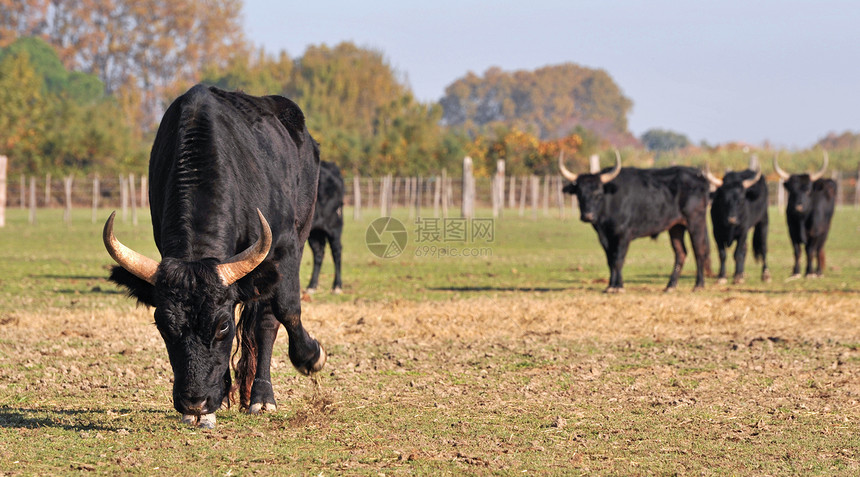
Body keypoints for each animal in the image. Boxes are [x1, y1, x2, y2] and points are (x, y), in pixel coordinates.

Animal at [103, 84, 326, 428]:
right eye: (163, 324)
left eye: (222, 326)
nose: (194, 401)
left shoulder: (285, 246)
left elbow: (286, 308)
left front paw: (311, 357)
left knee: (266, 320)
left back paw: (261, 397)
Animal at [308, 161, 344, 294]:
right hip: (314, 232)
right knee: (318, 253)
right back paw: (311, 286)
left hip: (334, 226)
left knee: (337, 251)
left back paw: (337, 286)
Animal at [556, 151, 712, 292]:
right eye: (579, 194)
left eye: (599, 194)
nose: (587, 216)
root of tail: (699, 176)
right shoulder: (604, 237)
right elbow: (610, 260)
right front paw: (610, 285)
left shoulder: (623, 234)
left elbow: (618, 259)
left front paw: (618, 286)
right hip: (676, 226)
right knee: (681, 253)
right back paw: (670, 286)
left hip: (695, 222)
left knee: (699, 251)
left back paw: (699, 285)